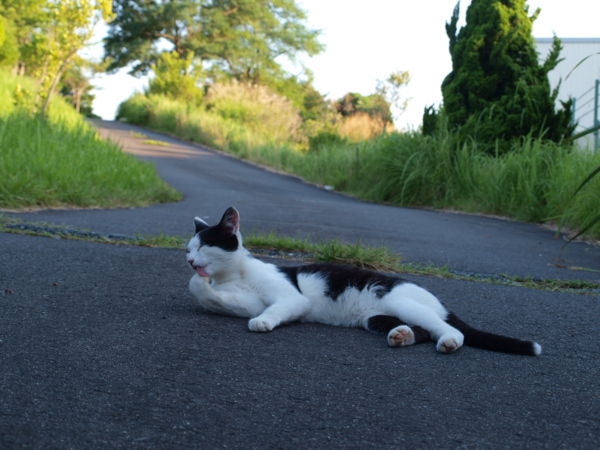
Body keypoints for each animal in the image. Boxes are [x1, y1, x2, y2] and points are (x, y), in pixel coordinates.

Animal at [186, 207, 542, 356]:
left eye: (203, 246)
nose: (189, 260)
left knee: (447, 330)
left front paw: (262, 322)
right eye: (188, 248)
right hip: (375, 319)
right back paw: (402, 336)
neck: (235, 274)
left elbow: (274, 309)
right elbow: (215, 297)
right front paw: (199, 285)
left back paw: (449, 342)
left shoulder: (292, 299)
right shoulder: (245, 301)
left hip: (400, 302)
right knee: (422, 331)